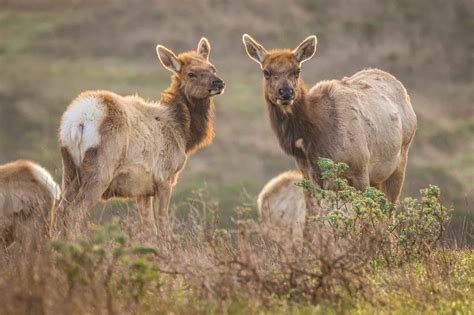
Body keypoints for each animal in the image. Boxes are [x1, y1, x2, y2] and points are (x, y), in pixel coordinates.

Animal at [54, 37, 225, 239]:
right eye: (191, 73)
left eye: (212, 67)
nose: (219, 82)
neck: (183, 133)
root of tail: (78, 121)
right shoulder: (164, 177)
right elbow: (163, 226)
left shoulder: (142, 189)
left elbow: (149, 230)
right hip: (100, 170)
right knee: (74, 212)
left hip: (69, 168)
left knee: (60, 209)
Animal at [243, 33, 416, 238]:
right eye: (266, 71)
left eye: (297, 70)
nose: (286, 92)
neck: (316, 139)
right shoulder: (308, 177)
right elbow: (310, 226)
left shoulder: (360, 170)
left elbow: (364, 225)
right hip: (377, 178)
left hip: (399, 160)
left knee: (388, 215)